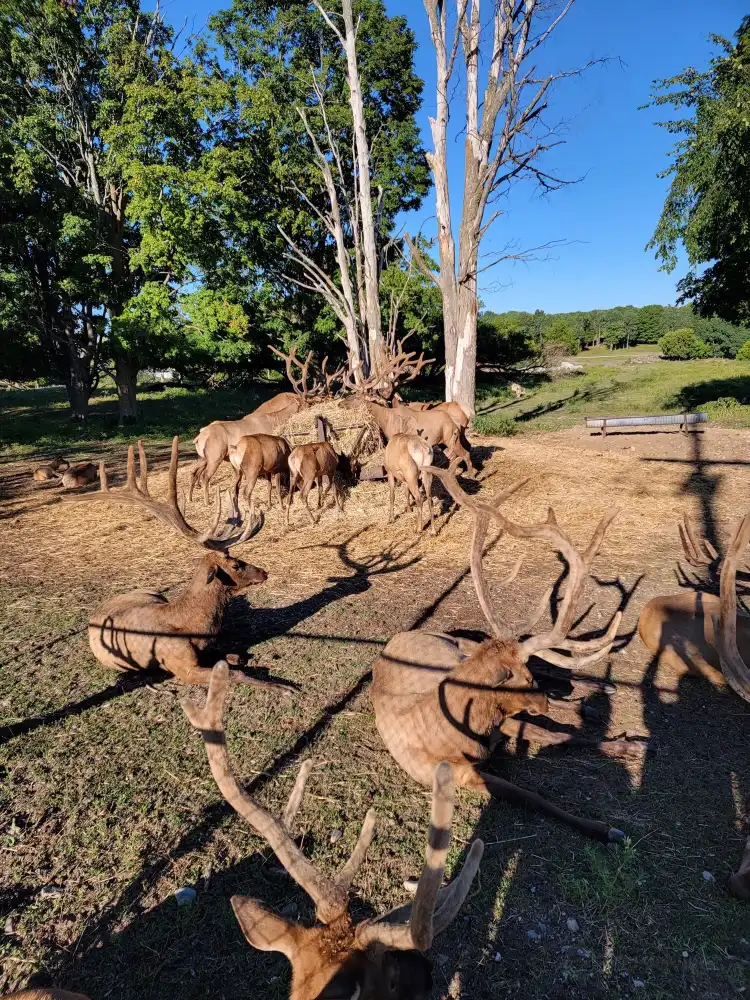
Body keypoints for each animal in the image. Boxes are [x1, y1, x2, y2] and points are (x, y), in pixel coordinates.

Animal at [79, 438, 290, 688]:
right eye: (235, 565)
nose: (264, 572)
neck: (195, 630)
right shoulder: (181, 666)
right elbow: (236, 672)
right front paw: (283, 687)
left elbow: (234, 657)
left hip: (154, 594)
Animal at [370, 468, 648, 844]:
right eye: (523, 678)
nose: (541, 702)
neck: (456, 737)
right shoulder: (469, 770)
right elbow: (534, 786)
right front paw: (606, 829)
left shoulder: (503, 721)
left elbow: (557, 736)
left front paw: (629, 748)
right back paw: (583, 703)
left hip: (457, 645)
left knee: (557, 677)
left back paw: (596, 691)